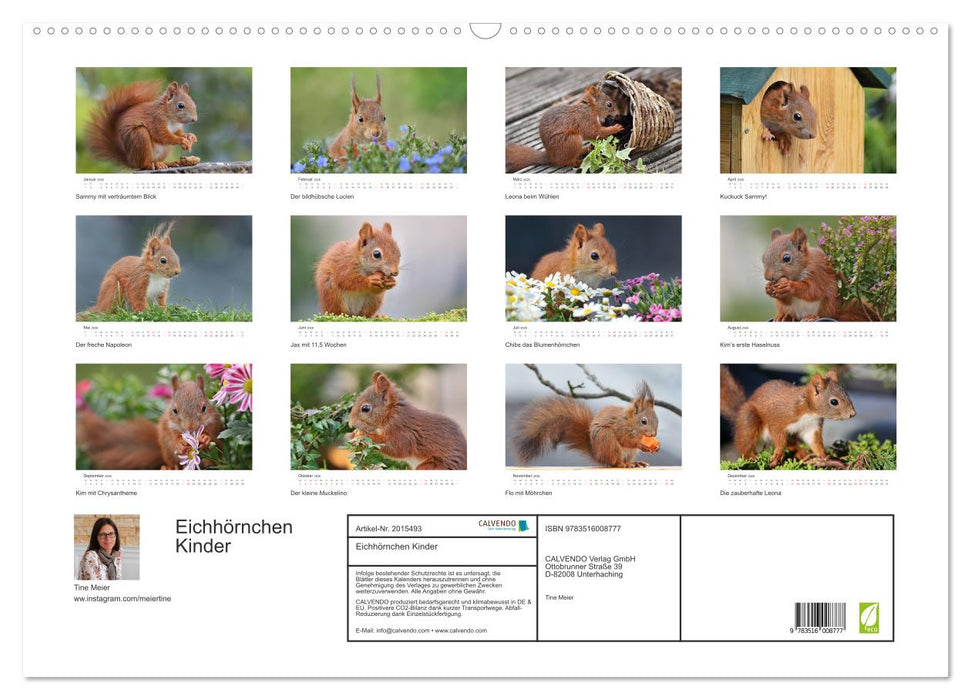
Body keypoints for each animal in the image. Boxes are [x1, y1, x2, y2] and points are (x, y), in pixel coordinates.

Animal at [77, 375, 223, 470]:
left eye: (204, 408)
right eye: (174, 410)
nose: (190, 427)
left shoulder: (214, 420)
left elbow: (212, 431)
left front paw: (205, 437)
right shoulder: (168, 424)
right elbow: (173, 435)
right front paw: (179, 443)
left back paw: (211, 463)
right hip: (168, 453)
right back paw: (170, 468)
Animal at [512, 382, 660, 468]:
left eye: (657, 420)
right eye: (644, 421)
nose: (653, 434)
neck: (630, 421)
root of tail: (598, 455)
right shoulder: (620, 427)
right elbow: (626, 440)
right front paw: (642, 445)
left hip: (628, 453)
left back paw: (634, 463)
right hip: (608, 441)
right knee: (613, 462)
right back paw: (622, 464)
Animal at [720, 366, 855, 468]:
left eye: (846, 393)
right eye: (834, 402)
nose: (852, 414)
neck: (809, 412)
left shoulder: (811, 426)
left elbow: (815, 442)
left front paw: (823, 455)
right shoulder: (779, 419)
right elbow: (779, 437)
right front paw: (778, 453)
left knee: (792, 444)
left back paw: (801, 453)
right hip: (749, 419)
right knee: (745, 442)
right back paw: (752, 457)